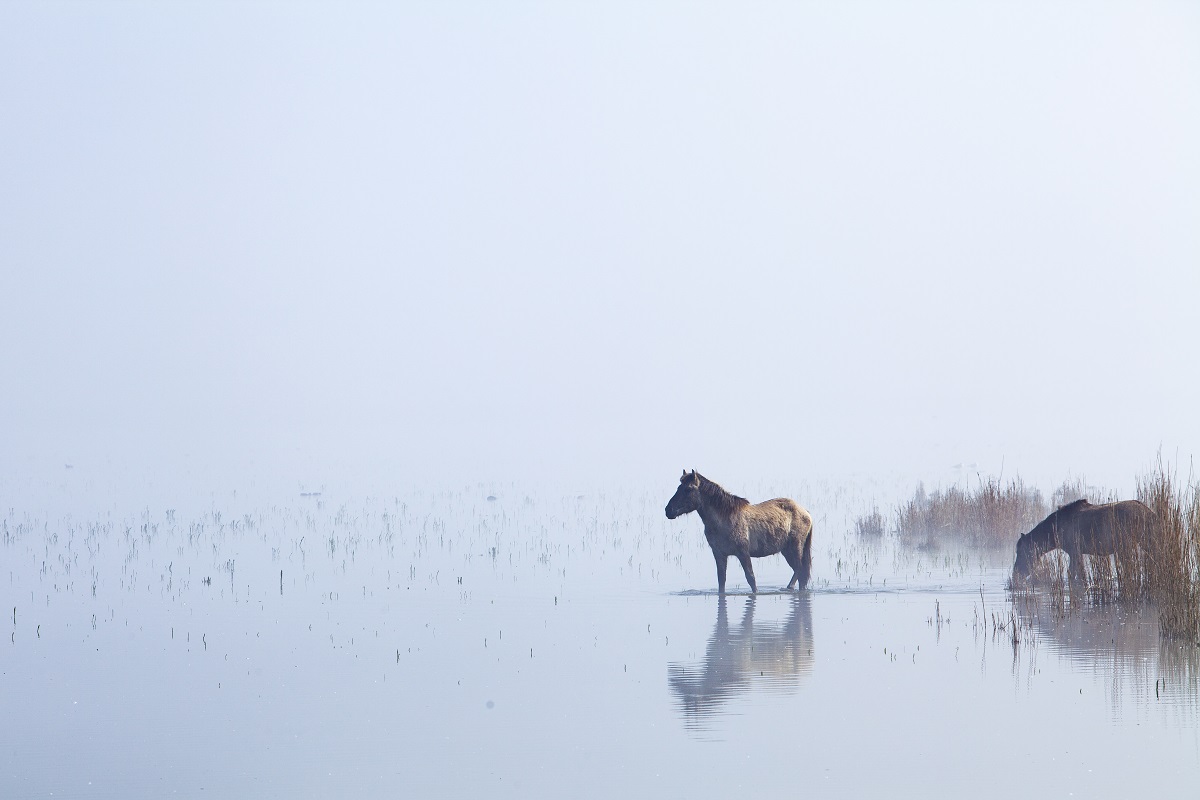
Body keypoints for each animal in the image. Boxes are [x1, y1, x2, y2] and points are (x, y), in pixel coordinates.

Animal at [664, 470, 813, 593]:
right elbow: (721, 581)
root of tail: (806, 512)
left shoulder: (743, 552)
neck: (722, 520)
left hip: (795, 547)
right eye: (679, 487)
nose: (668, 510)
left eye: (688, 489)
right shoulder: (719, 554)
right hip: (786, 550)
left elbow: (751, 578)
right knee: (798, 572)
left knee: (800, 572)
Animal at [1011, 498, 1160, 586]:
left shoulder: (1074, 552)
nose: (1015, 574)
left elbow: (1074, 574)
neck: (1054, 532)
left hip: (1131, 545)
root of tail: (1151, 514)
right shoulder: (1077, 553)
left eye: (1021, 552)